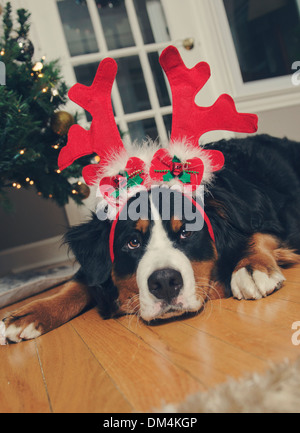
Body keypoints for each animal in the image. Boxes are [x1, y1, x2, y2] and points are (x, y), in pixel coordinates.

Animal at [2, 133, 300, 342]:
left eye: (186, 232)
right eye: (132, 242)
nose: (165, 282)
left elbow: (257, 235)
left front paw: (251, 268)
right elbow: (78, 283)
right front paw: (29, 313)